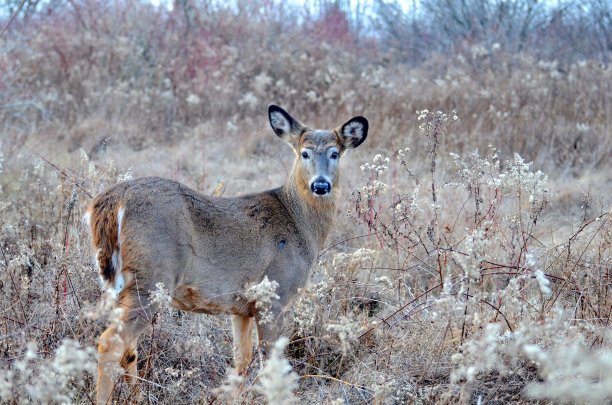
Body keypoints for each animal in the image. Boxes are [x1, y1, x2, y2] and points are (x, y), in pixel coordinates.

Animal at [85, 104, 368, 400]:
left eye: (335, 153)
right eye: (305, 153)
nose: (321, 185)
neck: (298, 223)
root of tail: (109, 203)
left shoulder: (241, 308)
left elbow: (241, 361)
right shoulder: (274, 294)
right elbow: (272, 364)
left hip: (121, 283)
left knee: (128, 349)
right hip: (152, 277)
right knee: (110, 342)